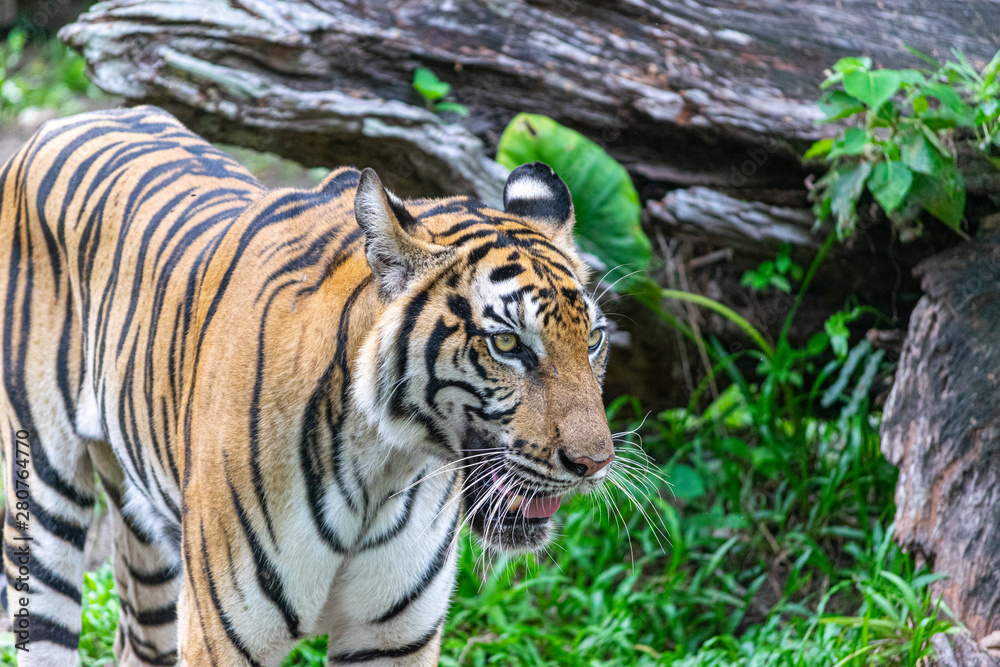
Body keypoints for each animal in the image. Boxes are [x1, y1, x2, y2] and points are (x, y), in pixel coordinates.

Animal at [0, 105, 615, 666]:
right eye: (507, 344)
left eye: (593, 340)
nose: (595, 464)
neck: (386, 467)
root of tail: (74, 118)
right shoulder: (219, 634)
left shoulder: (393, 639)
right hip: (44, 498)